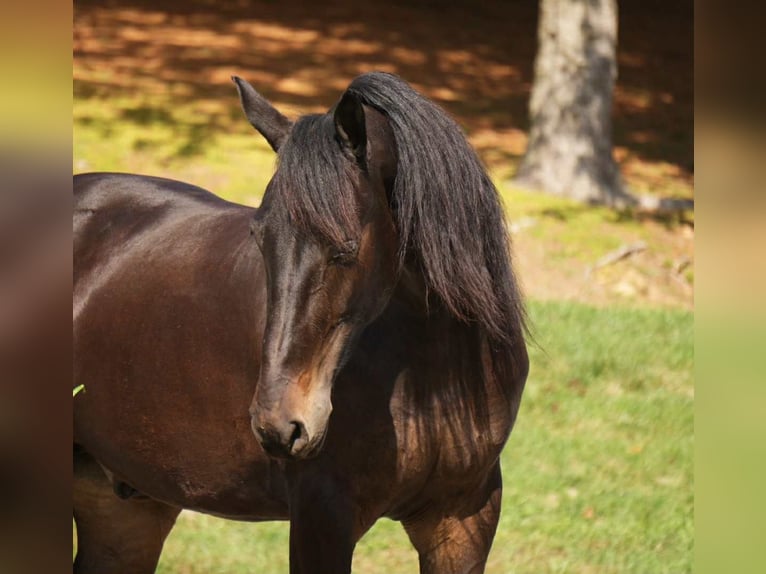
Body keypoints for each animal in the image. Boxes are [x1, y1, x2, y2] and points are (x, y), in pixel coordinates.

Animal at [73, 71, 529, 574]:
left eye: (346, 249)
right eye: (259, 237)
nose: (279, 425)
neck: (433, 372)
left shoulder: (463, 516)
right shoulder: (322, 517)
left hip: (126, 509)